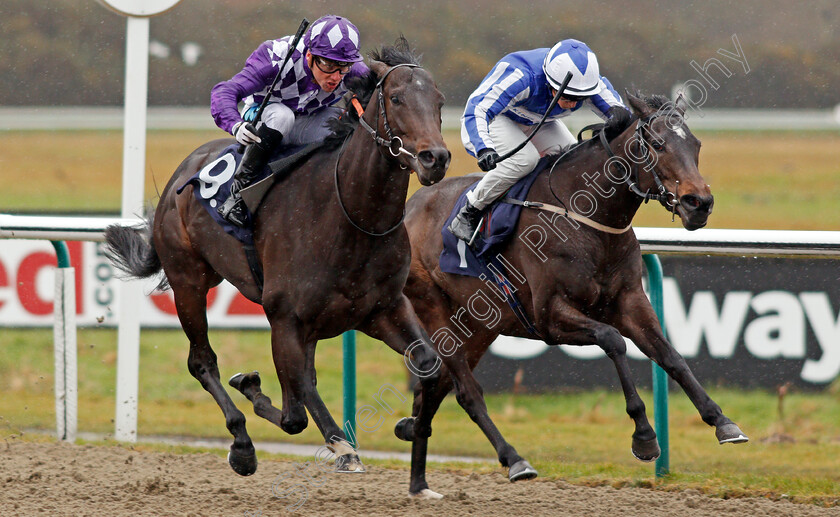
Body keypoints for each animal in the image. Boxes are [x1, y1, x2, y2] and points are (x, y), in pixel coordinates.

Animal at [102, 40, 450, 480]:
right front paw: (343, 447)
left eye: (439, 101)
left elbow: (427, 361)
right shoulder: (285, 318)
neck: (351, 218)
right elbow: (299, 403)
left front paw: (409, 423)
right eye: (397, 98)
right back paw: (242, 443)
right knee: (202, 362)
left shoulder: (381, 309)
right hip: (188, 281)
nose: (435, 158)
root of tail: (183, 171)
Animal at [398, 93, 748, 496]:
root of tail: (407, 209)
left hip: (480, 324)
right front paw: (644, 436)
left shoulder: (630, 300)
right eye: (658, 144)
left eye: (696, 145)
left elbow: (671, 356)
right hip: (433, 307)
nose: (699, 203)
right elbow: (613, 340)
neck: (587, 218)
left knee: (433, 387)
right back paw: (513, 459)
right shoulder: (550, 317)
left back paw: (418, 477)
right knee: (465, 391)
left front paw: (722, 421)